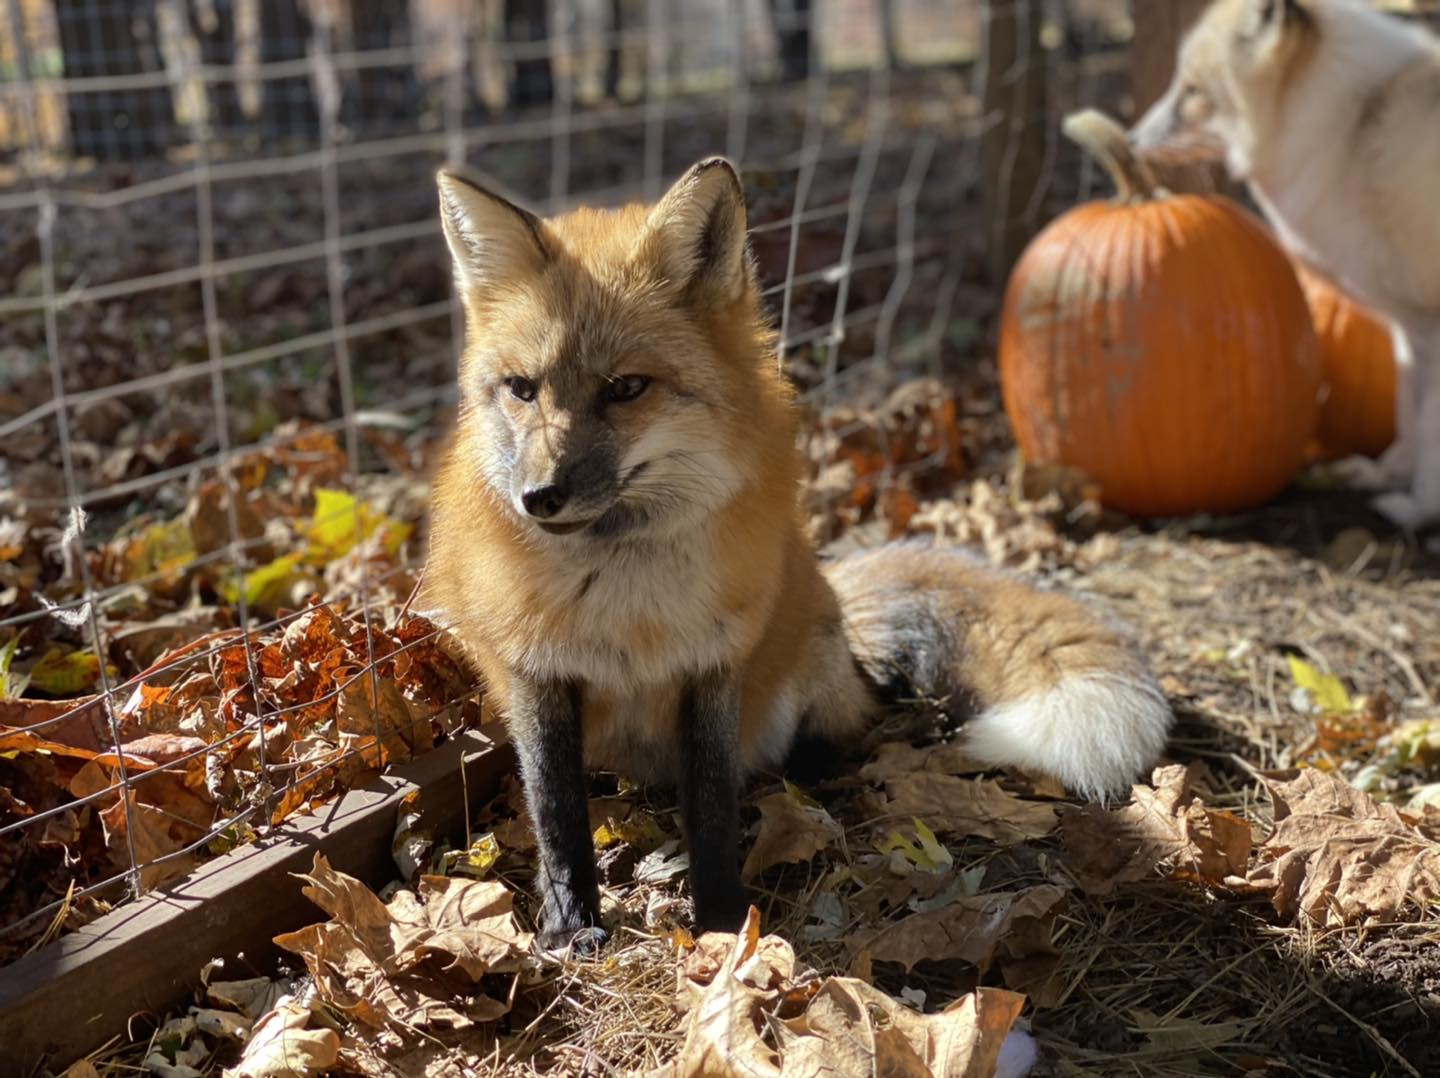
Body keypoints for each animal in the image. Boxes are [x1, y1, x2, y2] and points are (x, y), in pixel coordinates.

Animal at [423, 157, 1173, 952]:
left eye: (625, 388)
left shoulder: (714, 663)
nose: (537, 497)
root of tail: (832, 596)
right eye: (521, 389)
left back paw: (814, 768)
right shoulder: (536, 676)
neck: (625, 599)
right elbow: (557, 813)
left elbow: (712, 804)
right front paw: (571, 928)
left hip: (806, 677)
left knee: (846, 721)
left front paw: (723, 924)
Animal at [1130, 0, 1440, 528]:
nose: (1130, 139)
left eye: (1192, 92)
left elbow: (1431, 431)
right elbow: (1410, 417)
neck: (1347, 130)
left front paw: (1418, 510)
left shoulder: (1431, 320)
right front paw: (1386, 475)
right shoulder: (1410, 326)